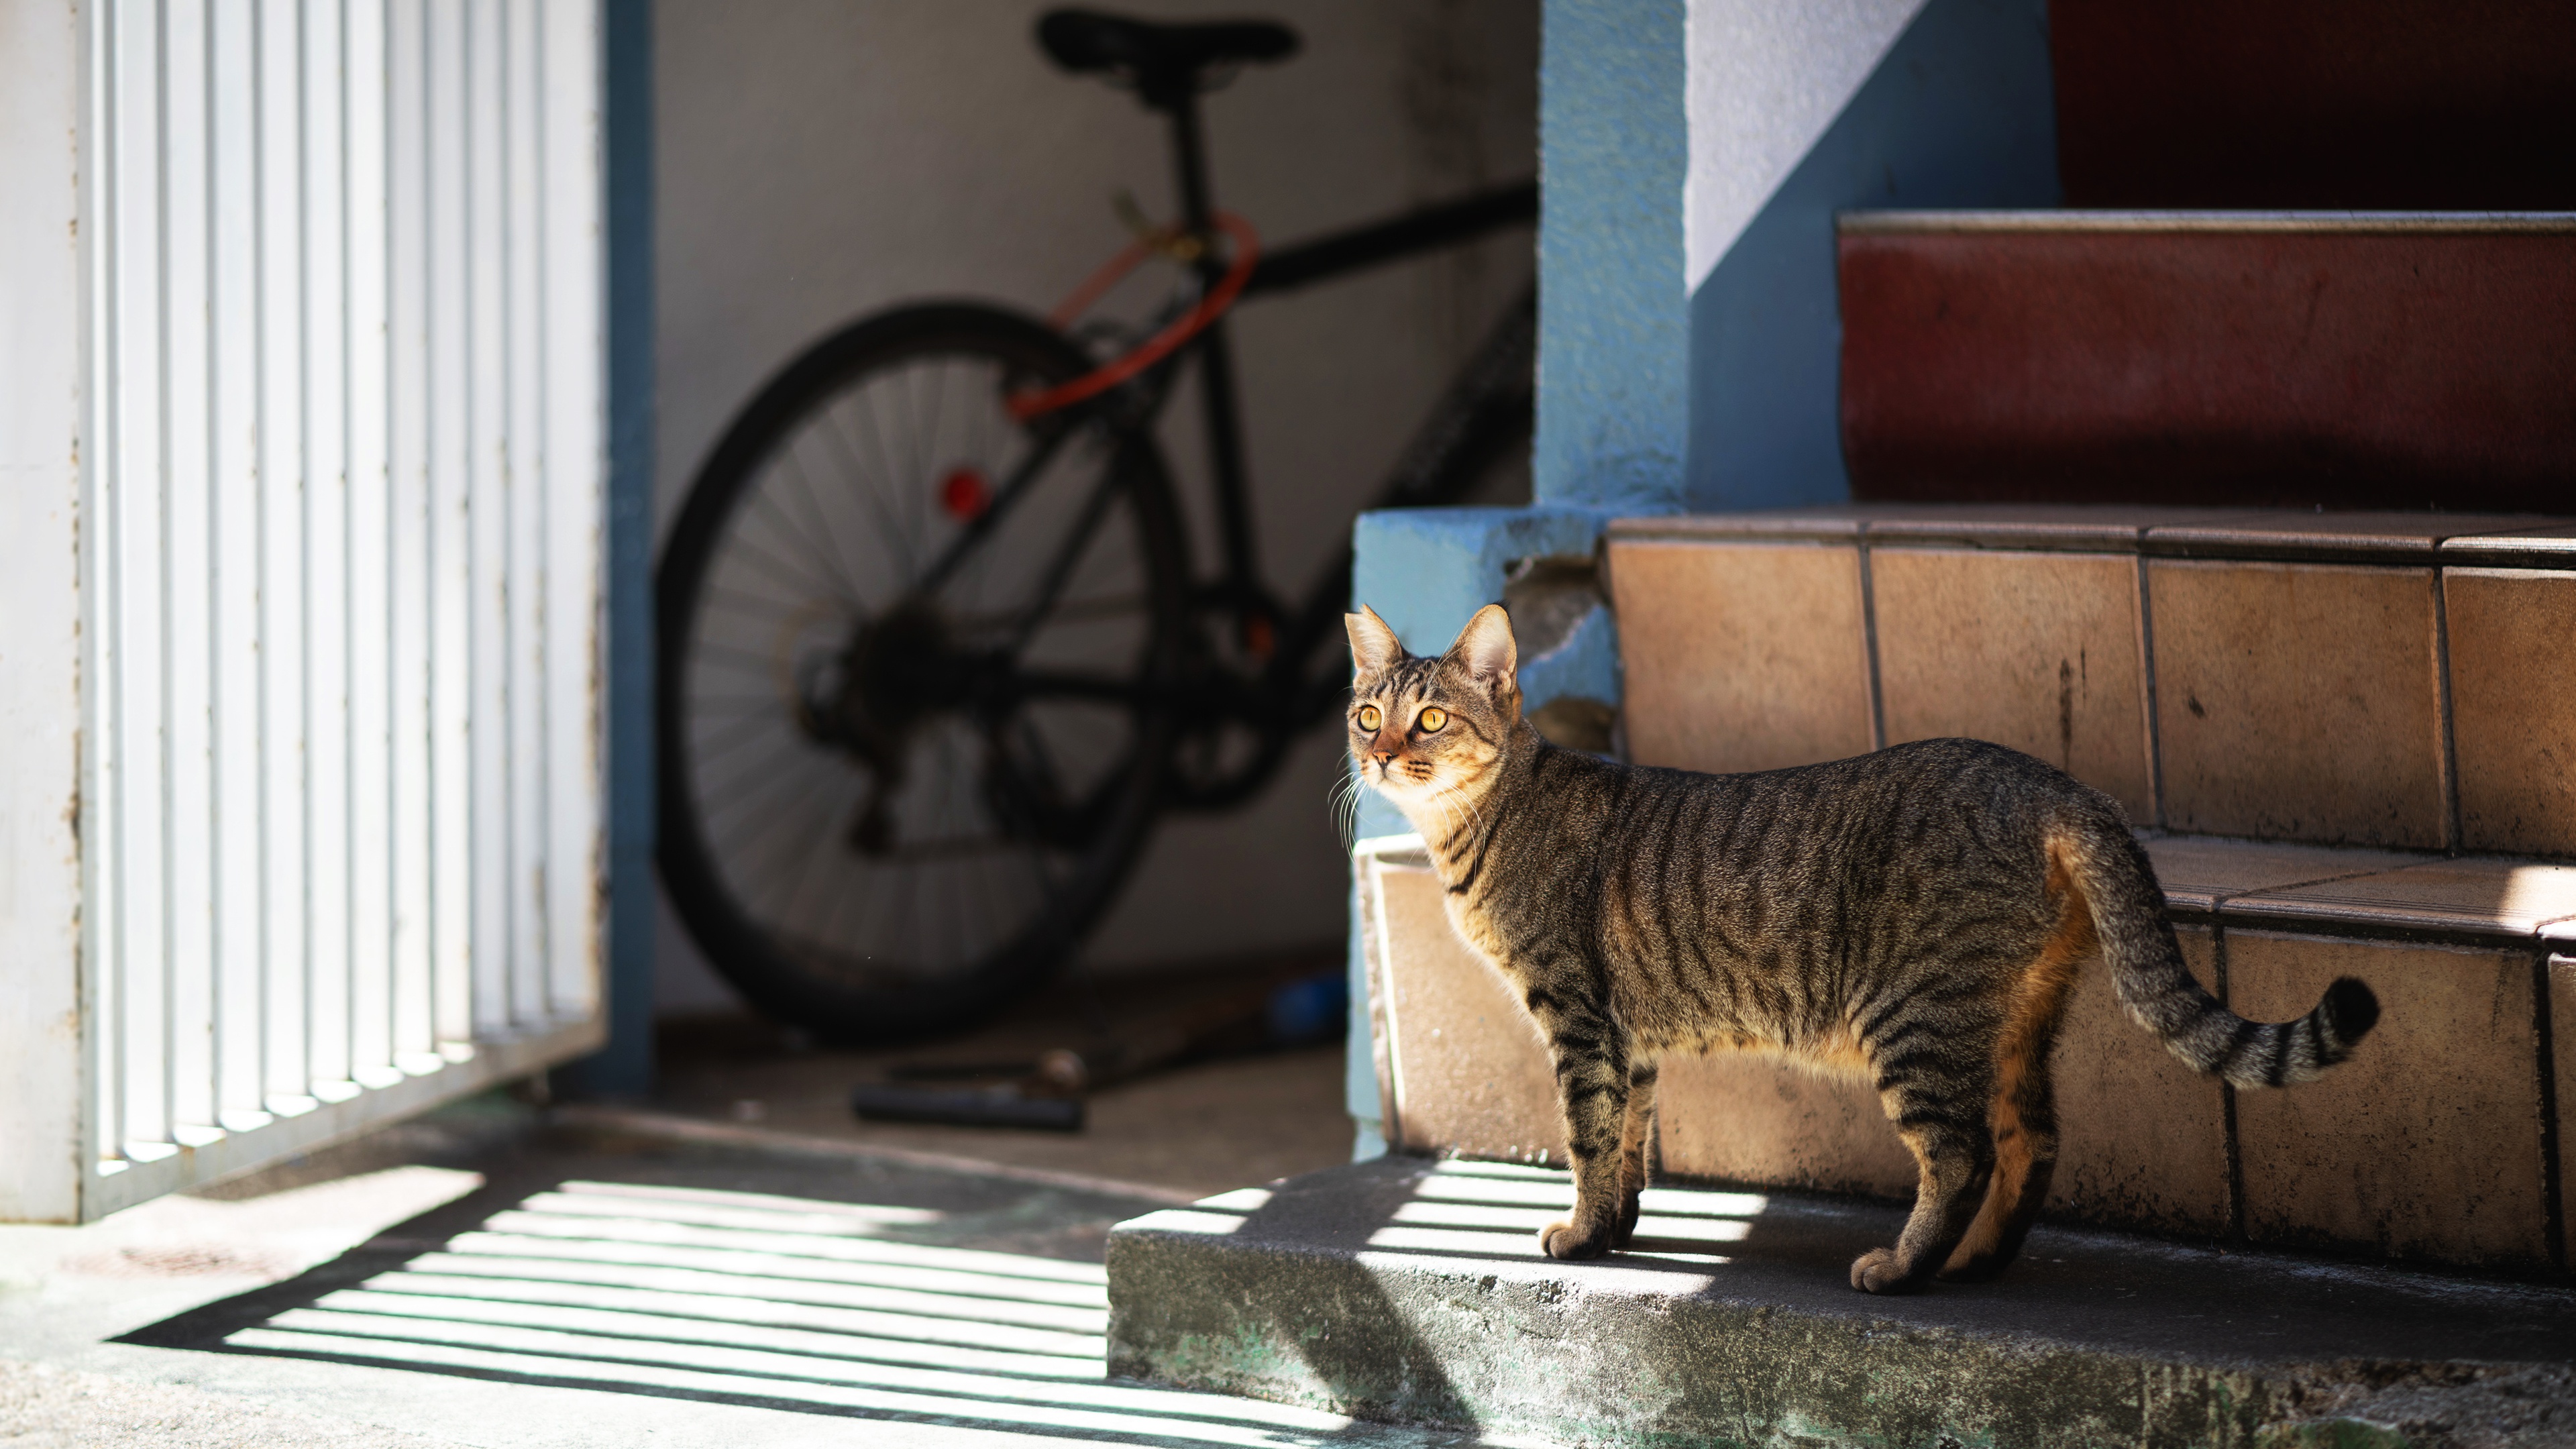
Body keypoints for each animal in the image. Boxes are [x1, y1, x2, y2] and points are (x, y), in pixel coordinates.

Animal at [1350, 598, 2369, 1284]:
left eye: (1430, 719)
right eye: (1369, 713)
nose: (1379, 754)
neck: (1481, 826)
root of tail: (2054, 783)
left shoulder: (1577, 1016)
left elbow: (1588, 1138)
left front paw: (1582, 1233)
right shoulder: (1625, 1033)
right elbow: (1632, 1135)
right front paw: (1618, 1226)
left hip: (1912, 1015)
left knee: (1962, 1153)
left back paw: (1906, 1266)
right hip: (2012, 1020)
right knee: (2032, 1141)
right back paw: (1974, 1263)